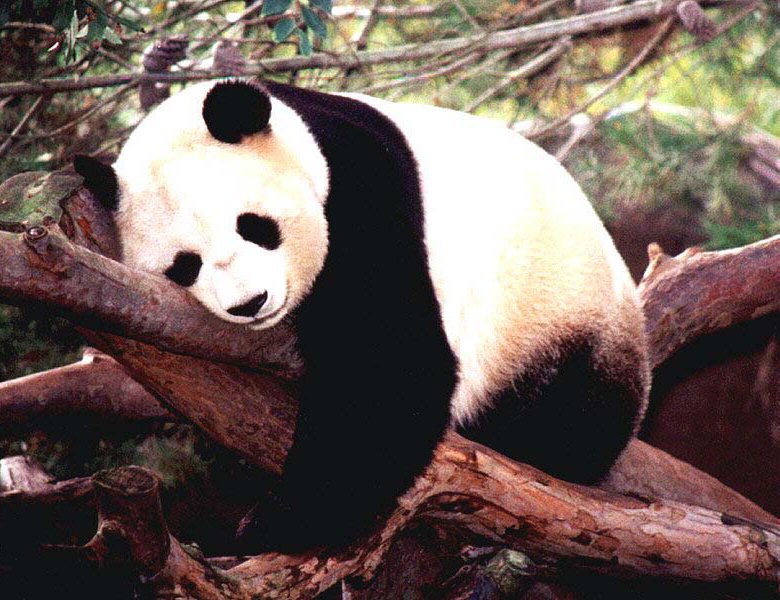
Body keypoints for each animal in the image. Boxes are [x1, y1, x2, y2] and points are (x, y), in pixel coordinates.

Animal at [74, 79, 650, 552]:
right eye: (185, 265)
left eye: (254, 225)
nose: (250, 303)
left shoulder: (364, 190)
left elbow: (387, 367)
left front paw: (278, 522)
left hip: (557, 313)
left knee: (571, 418)